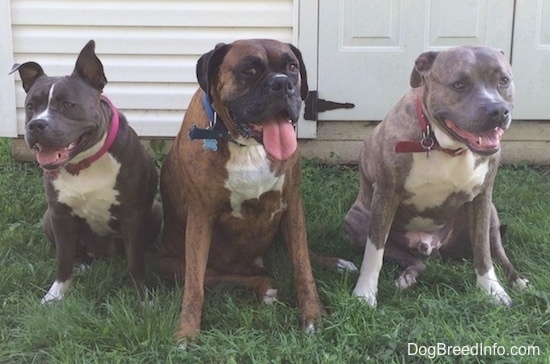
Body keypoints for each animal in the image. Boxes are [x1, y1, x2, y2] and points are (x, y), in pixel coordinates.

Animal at [10, 39, 162, 302]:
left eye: (68, 105)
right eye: (30, 106)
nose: (36, 124)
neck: (83, 163)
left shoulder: (132, 215)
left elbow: (135, 259)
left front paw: (144, 295)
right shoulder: (59, 214)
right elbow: (63, 259)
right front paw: (55, 295)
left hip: (155, 211)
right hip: (48, 218)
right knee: (75, 252)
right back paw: (82, 262)